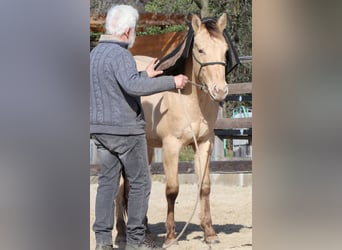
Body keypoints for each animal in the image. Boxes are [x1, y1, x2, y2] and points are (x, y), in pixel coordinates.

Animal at [115, 12, 238, 245]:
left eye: (225, 51)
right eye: (200, 49)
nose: (220, 91)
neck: (191, 102)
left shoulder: (204, 144)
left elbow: (205, 186)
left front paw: (209, 232)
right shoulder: (171, 146)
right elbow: (172, 190)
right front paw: (171, 236)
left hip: (145, 147)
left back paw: (146, 233)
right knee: (119, 189)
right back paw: (120, 235)